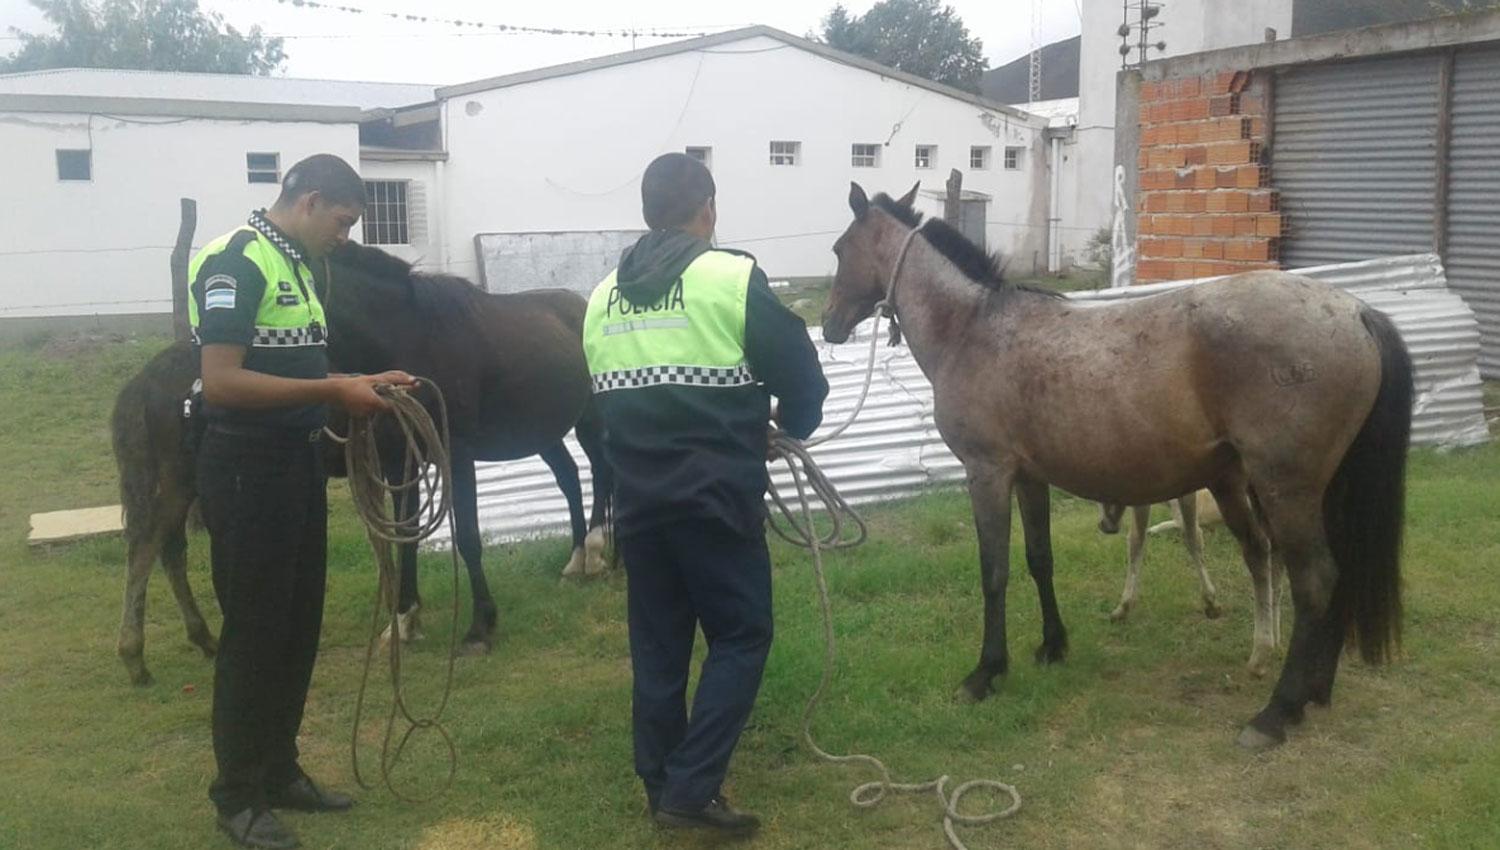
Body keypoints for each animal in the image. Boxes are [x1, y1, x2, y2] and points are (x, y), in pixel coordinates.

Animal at [828, 182, 1410, 749]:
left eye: (838, 250)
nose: (830, 326)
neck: (973, 329)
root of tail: (1357, 313)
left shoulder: (986, 472)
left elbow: (994, 572)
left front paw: (986, 673)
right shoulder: (1030, 477)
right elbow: (1040, 559)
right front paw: (1053, 646)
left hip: (1285, 491)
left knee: (1315, 581)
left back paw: (1277, 712)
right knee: (1336, 575)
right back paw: (1315, 692)